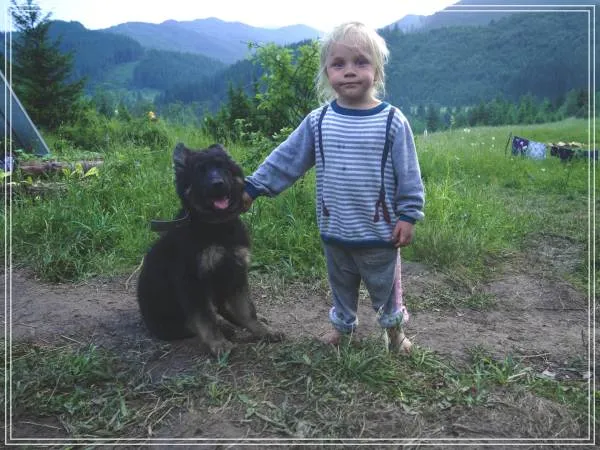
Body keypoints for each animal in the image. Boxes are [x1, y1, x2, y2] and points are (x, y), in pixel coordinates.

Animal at [137, 143, 283, 356]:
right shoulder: (192, 282)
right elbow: (205, 318)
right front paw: (219, 344)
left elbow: (247, 309)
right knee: (191, 323)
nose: (218, 184)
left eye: (222, 167)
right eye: (200, 171)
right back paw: (225, 327)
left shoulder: (236, 271)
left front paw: (262, 330)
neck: (217, 227)